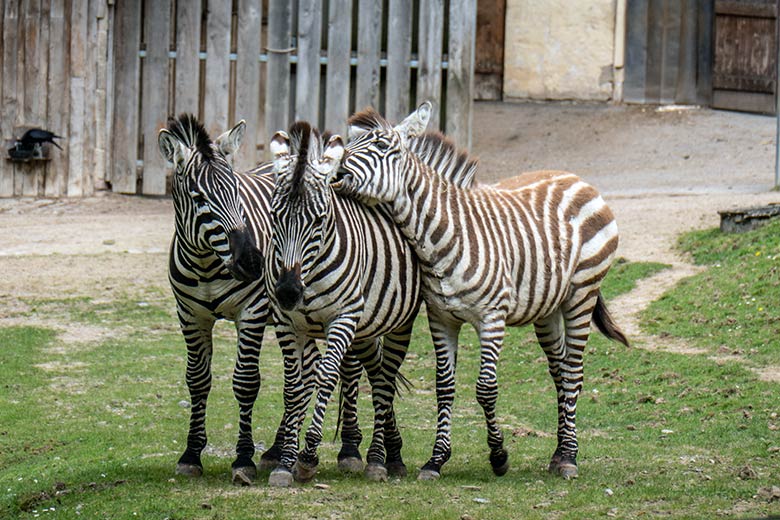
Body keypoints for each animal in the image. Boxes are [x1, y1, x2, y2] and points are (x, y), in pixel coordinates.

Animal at [159, 112, 368, 484]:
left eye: (236, 192)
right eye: (198, 198)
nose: (252, 262)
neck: (206, 265)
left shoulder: (252, 311)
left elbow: (246, 382)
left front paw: (243, 459)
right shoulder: (190, 315)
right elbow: (197, 380)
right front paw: (191, 454)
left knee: (348, 369)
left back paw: (349, 450)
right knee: (309, 370)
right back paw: (277, 449)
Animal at [332, 103, 632, 482]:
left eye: (384, 147)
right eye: (349, 145)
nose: (336, 173)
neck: (442, 236)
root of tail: (576, 178)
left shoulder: (492, 318)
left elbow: (486, 389)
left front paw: (499, 455)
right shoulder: (441, 318)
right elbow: (444, 387)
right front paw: (436, 460)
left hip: (581, 294)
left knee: (574, 373)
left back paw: (569, 458)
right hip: (548, 308)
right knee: (560, 372)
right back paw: (558, 453)